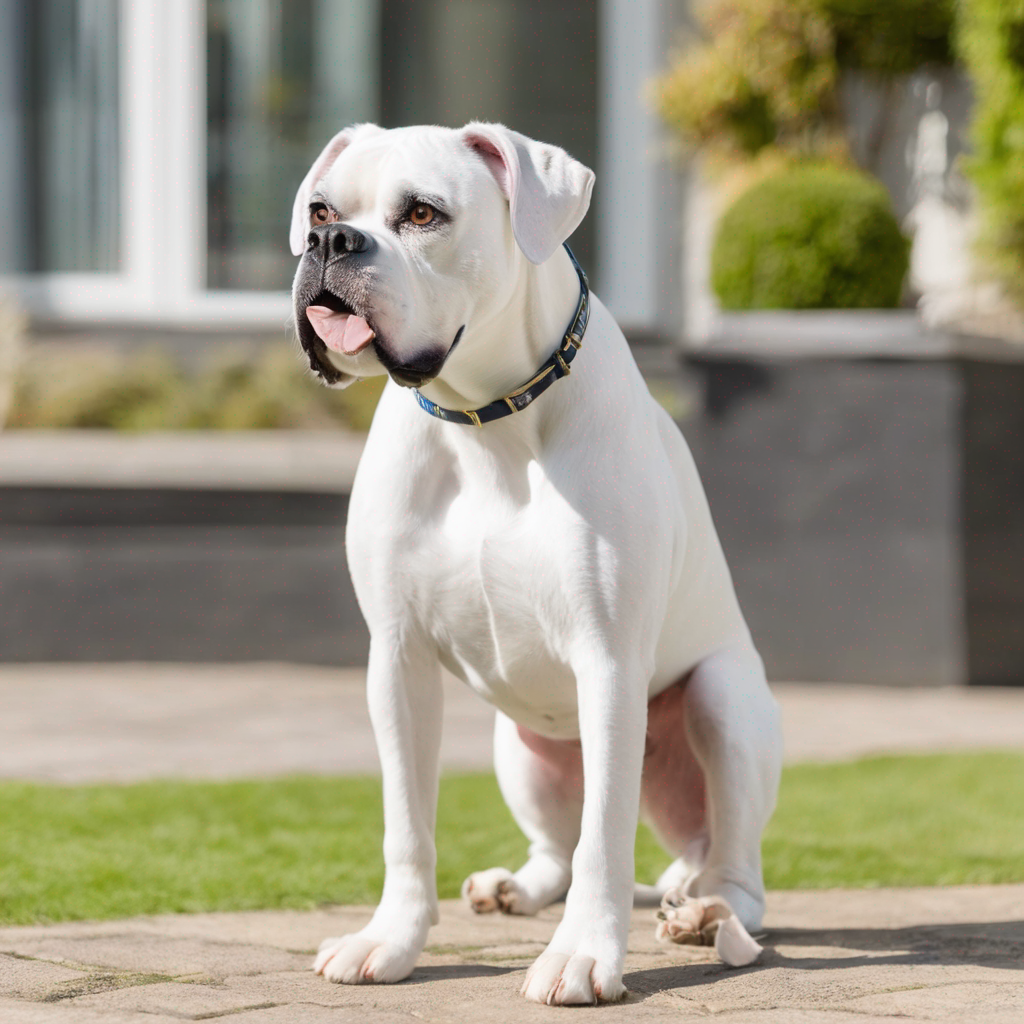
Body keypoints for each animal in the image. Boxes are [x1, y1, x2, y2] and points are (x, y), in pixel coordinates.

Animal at [288, 123, 782, 1003]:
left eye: (423, 213)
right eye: (319, 209)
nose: (330, 243)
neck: (483, 416)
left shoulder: (609, 661)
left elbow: (604, 838)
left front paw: (585, 954)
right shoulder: (398, 662)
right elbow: (406, 825)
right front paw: (391, 940)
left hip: (723, 701)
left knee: (734, 868)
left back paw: (707, 912)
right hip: (518, 746)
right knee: (555, 849)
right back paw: (517, 887)